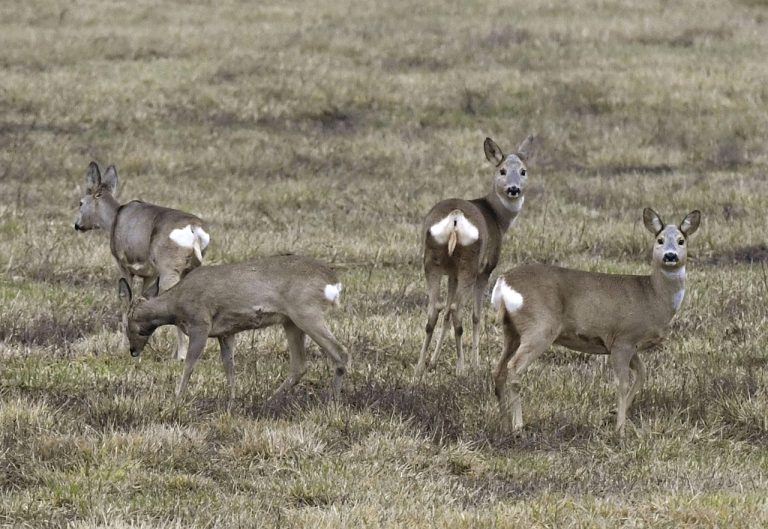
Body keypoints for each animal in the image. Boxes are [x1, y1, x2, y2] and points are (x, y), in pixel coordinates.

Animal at [74, 160, 210, 358]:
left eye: (81, 202)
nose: (77, 225)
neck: (115, 218)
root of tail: (194, 230)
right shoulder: (150, 274)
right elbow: (143, 299)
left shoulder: (123, 264)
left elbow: (125, 299)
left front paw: (122, 345)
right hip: (189, 269)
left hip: (170, 270)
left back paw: (180, 356)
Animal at [118, 253, 350, 400]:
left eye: (127, 325)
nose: (133, 351)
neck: (176, 306)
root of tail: (334, 282)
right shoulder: (226, 333)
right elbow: (229, 367)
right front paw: (231, 401)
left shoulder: (200, 323)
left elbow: (190, 364)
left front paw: (177, 398)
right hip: (290, 321)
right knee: (299, 365)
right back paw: (269, 400)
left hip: (306, 312)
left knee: (341, 353)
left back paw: (333, 402)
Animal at [414, 135, 536, 376]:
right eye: (502, 170)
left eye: (523, 171)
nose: (514, 189)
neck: (497, 217)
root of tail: (455, 218)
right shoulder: (486, 269)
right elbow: (476, 316)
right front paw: (476, 363)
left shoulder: (451, 273)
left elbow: (445, 313)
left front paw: (433, 360)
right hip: (470, 262)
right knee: (459, 313)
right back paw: (462, 369)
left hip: (433, 260)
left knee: (435, 311)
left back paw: (419, 368)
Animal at [492, 207, 704, 434]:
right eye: (660, 240)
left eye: (681, 241)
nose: (670, 256)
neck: (653, 295)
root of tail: (503, 282)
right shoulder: (623, 339)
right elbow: (622, 383)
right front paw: (620, 429)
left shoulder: (629, 345)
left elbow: (642, 375)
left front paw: (612, 415)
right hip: (539, 326)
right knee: (514, 368)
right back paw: (518, 426)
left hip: (511, 330)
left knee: (499, 369)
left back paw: (503, 423)